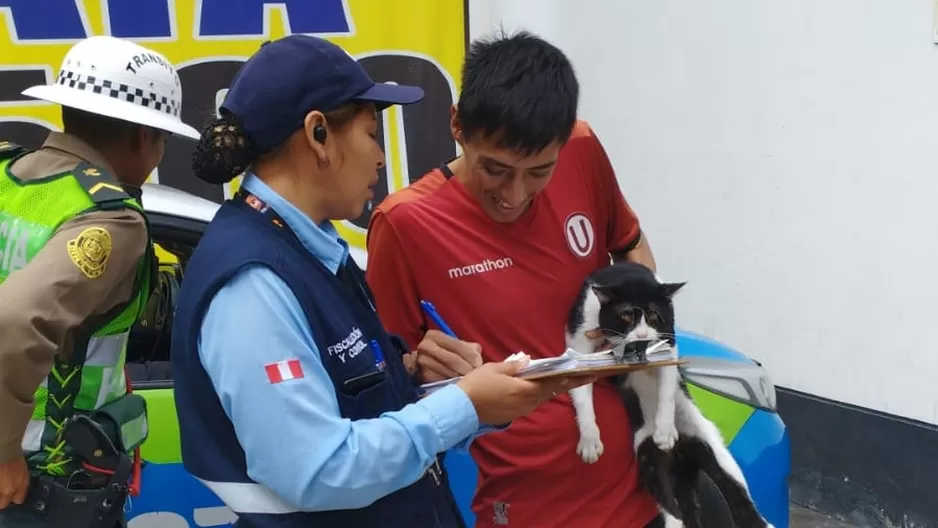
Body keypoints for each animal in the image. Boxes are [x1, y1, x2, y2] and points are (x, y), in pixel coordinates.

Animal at [564, 262, 768, 528]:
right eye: (626, 316)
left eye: (654, 316)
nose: (642, 336)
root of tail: (680, 458)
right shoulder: (581, 335)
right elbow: (581, 391)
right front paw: (590, 440)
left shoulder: (669, 344)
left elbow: (667, 391)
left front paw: (665, 430)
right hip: (647, 458)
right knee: (674, 514)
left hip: (714, 451)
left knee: (740, 499)